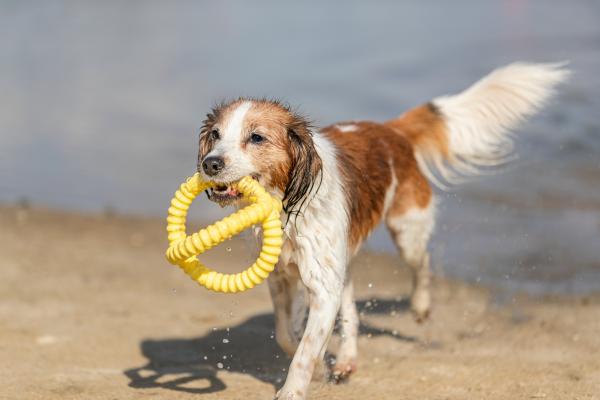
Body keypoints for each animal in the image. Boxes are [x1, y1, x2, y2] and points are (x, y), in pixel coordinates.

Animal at [197, 61, 568, 398]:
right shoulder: (282, 277)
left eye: (256, 137)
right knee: (350, 311)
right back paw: (346, 360)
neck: (287, 205)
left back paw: (420, 306)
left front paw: (294, 390)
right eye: (215, 135)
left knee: (422, 263)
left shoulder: (322, 286)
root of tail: (391, 131)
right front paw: (320, 366)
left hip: (407, 231)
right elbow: (288, 335)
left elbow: (303, 352)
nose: (210, 163)